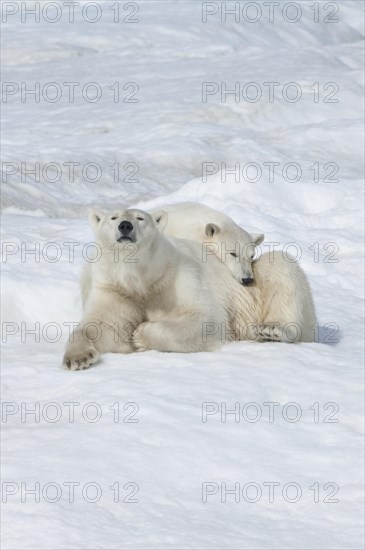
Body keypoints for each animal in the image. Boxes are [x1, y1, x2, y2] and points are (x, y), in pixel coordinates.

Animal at [63, 208, 237, 370]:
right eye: (113, 217)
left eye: (140, 218)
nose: (125, 225)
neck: (141, 280)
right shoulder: (114, 289)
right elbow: (100, 325)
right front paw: (78, 358)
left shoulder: (174, 281)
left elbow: (206, 318)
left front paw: (138, 336)